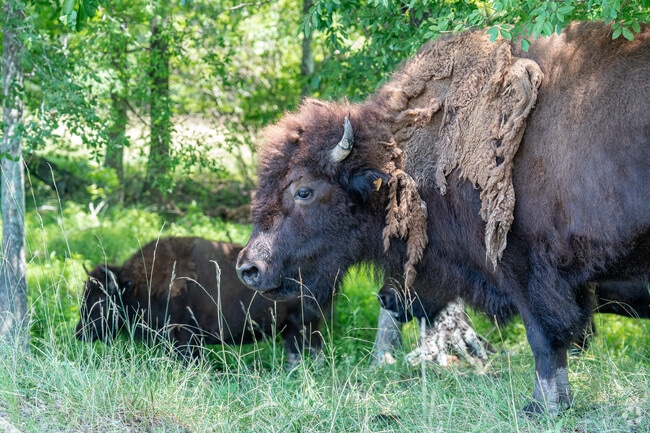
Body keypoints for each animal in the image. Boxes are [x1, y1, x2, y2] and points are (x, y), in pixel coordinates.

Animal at [76, 237, 323, 364]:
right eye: (85, 296)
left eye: (103, 301)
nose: (80, 333)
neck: (138, 284)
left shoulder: (186, 339)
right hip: (291, 329)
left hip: (304, 326)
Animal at [236, 21, 649, 414]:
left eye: (303, 191)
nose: (249, 268)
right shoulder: (565, 281)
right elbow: (561, 337)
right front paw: (554, 404)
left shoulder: (526, 269)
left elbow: (545, 337)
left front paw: (540, 408)